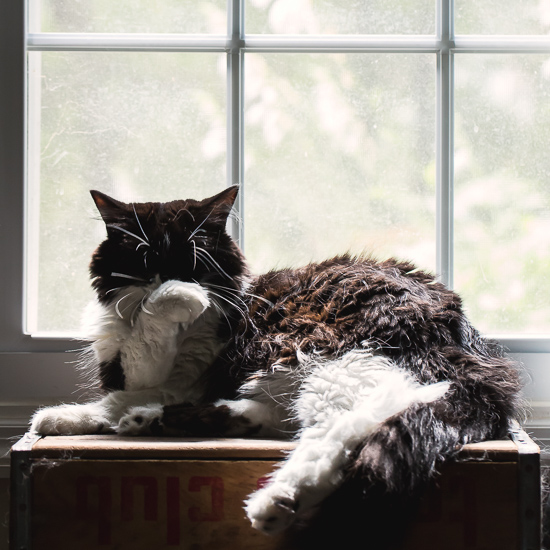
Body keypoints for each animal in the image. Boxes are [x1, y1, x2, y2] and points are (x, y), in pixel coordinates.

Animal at [32, 185, 524, 548]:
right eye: (147, 257)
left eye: (193, 260)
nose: (173, 278)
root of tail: (476, 352)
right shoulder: (152, 374)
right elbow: (116, 395)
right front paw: (61, 419)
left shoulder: (184, 372)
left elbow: (142, 354)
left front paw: (178, 299)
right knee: (277, 418)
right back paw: (153, 422)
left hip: (330, 357)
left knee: (352, 424)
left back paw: (279, 498)